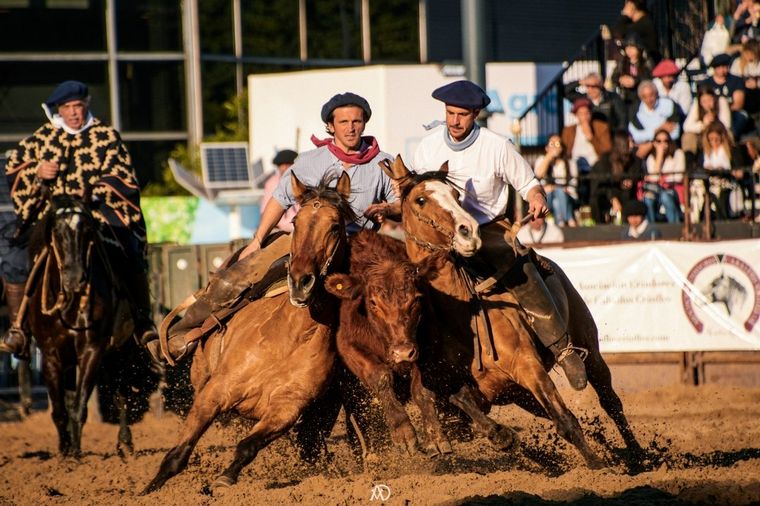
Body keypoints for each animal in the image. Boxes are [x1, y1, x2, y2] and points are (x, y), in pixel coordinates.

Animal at [27, 194, 157, 458]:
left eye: (88, 230)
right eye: (56, 230)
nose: (75, 279)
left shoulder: (92, 350)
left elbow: (79, 407)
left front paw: (77, 455)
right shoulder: (51, 355)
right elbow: (60, 410)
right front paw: (64, 453)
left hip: (118, 351)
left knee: (120, 393)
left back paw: (125, 443)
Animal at [141, 173, 352, 494]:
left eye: (335, 226)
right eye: (296, 222)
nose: (301, 282)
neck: (292, 336)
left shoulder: (286, 409)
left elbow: (248, 446)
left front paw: (225, 478)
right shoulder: (215, 391)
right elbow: (178, 454)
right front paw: (148, 490)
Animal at [380, 157, 640, 470]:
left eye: (455, 195)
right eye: (421, 199)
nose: (469, 231)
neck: (459, 320)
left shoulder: (529, 368)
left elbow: (566, 421)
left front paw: (598, 468)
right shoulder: (462, 388)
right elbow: (475, 414)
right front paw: (504, 439)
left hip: (588, 347)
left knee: (610, 402)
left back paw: (639, 457)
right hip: (518, 394)